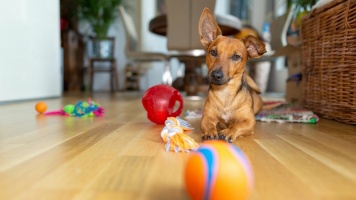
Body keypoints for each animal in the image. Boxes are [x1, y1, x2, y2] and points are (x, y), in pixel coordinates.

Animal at [199, 7, 266, 142]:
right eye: (213, 52)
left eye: (236, 57)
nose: (216, 75)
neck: (225, 93)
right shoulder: (206, 117)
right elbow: (208, 124)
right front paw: (210, 132)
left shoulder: (249, 122)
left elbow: (237, 125)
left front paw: (229, 131)